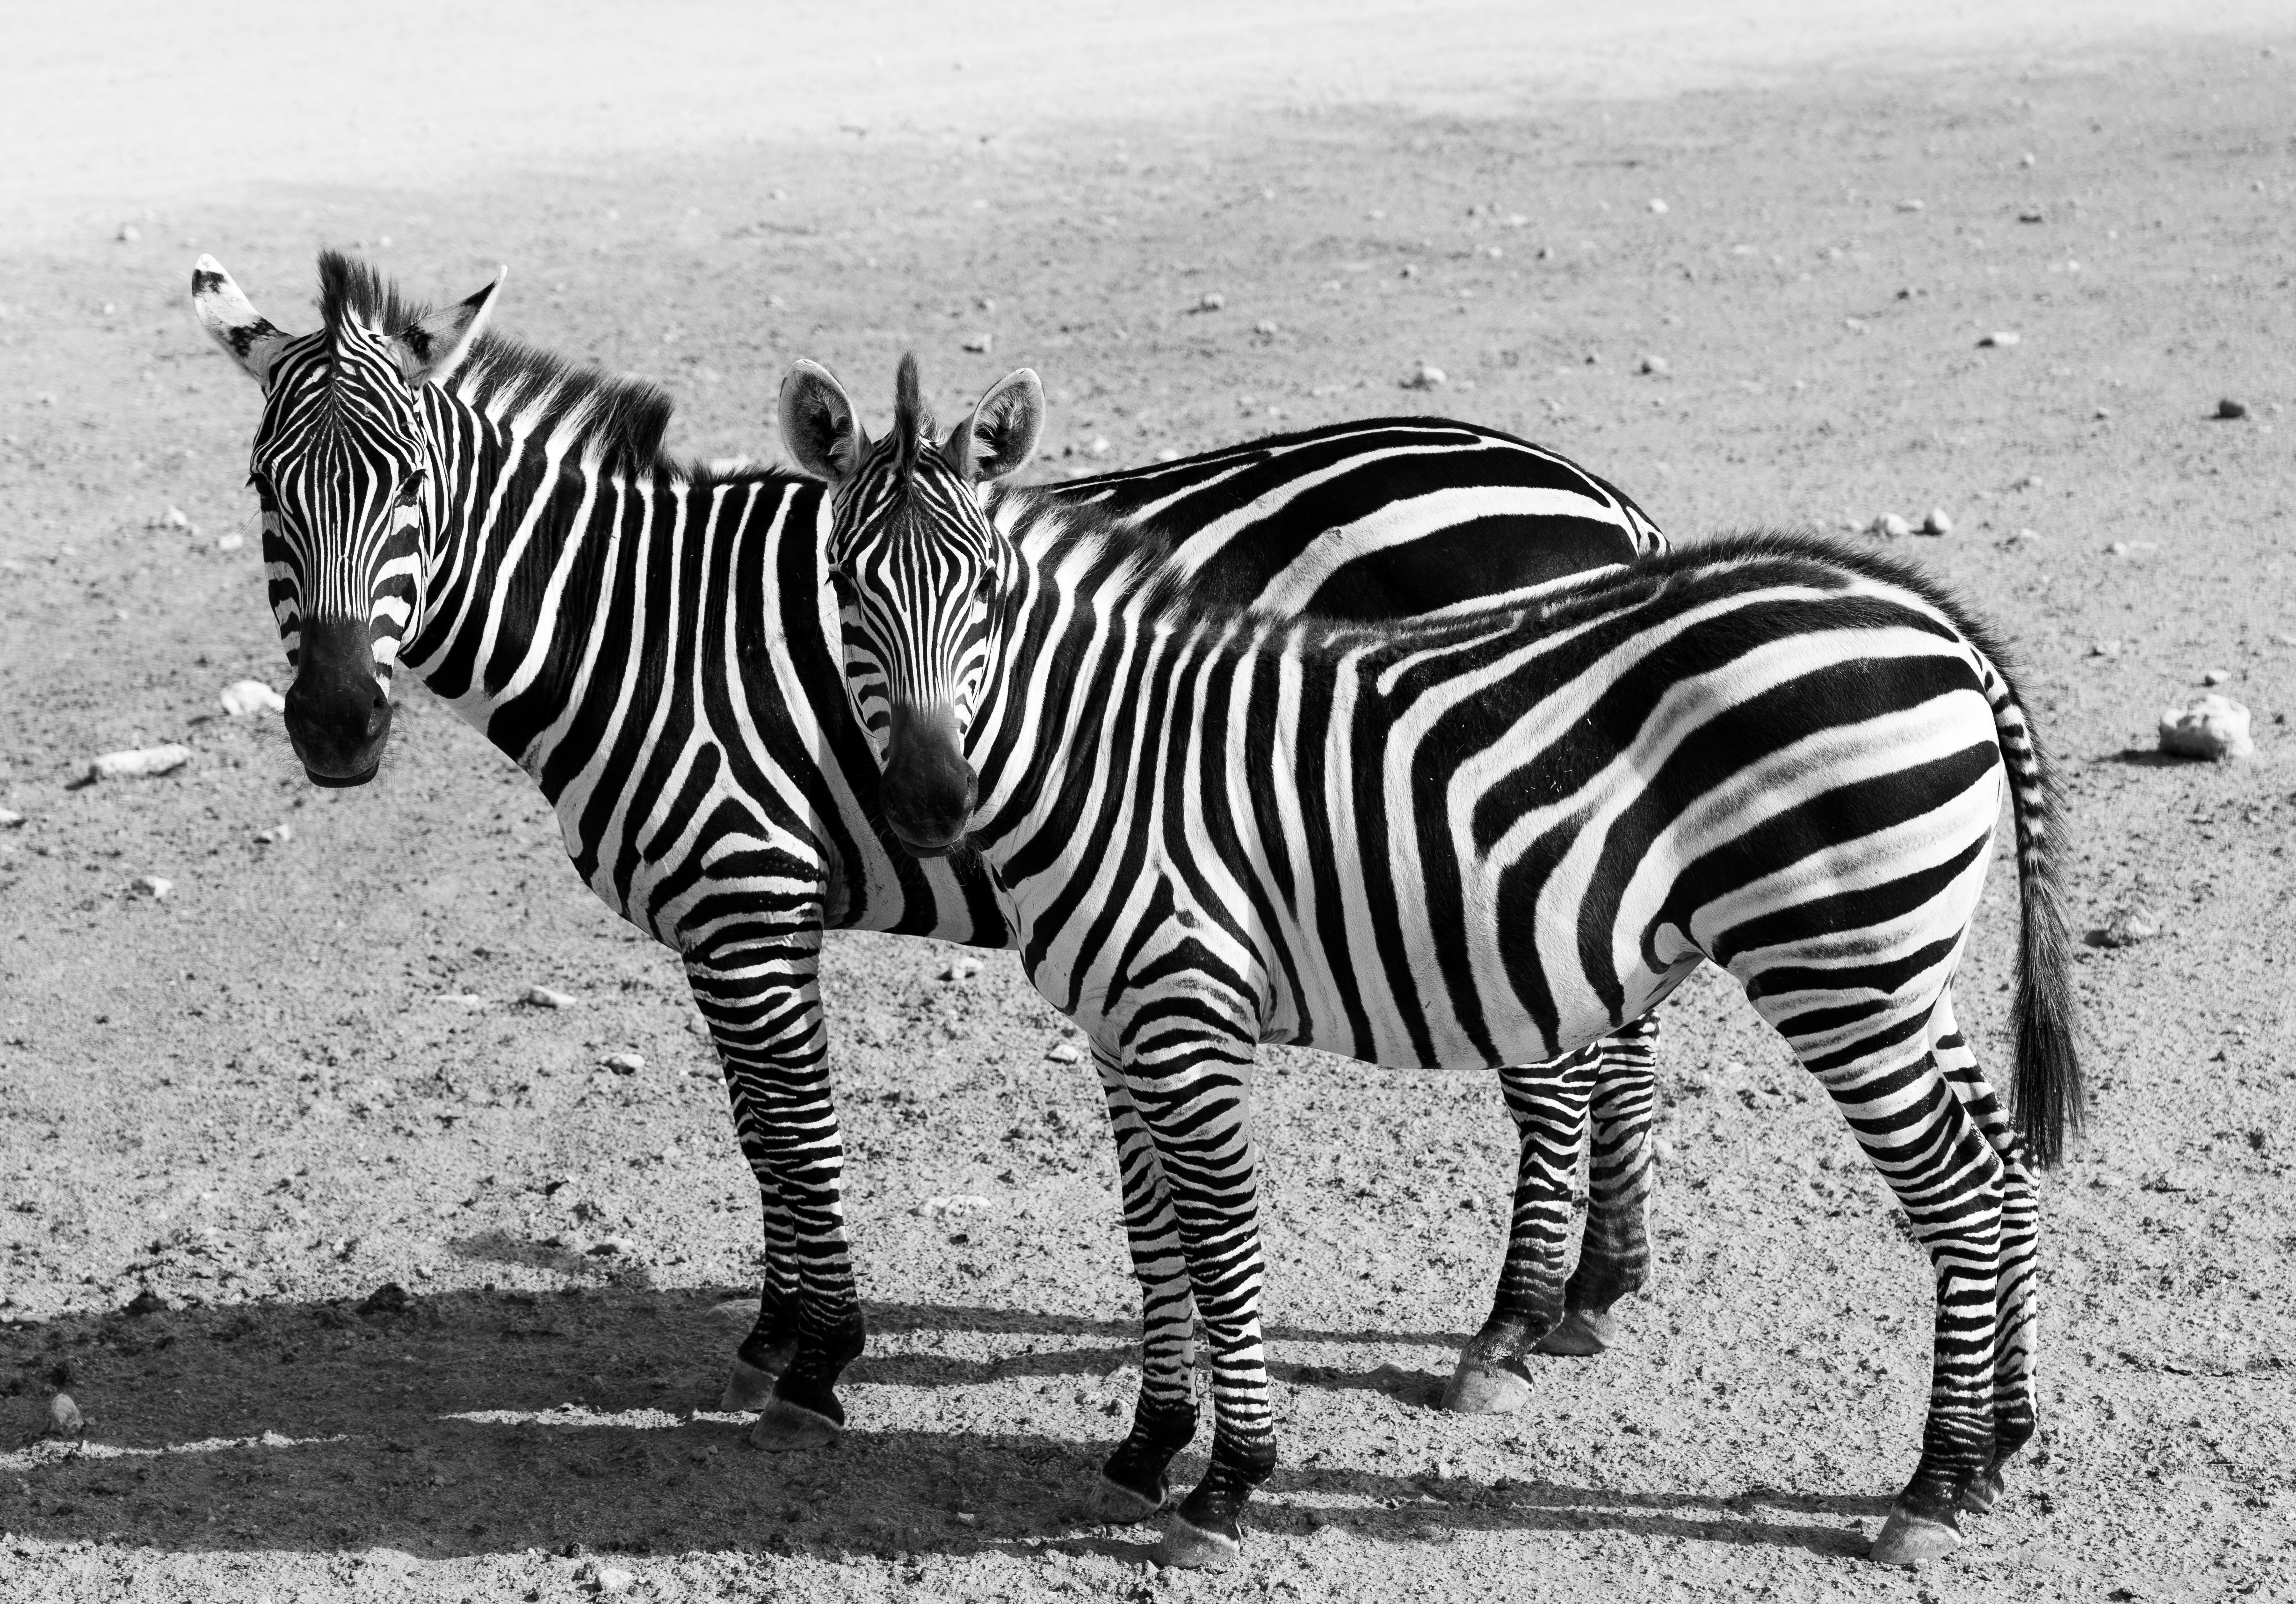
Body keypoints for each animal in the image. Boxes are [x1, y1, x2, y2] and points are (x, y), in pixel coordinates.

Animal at [187, 252, 1677, 1447]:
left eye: (412, 486)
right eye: (263, 488)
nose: (333, 727)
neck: (638, 625)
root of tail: (1598, 502)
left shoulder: (748, 889)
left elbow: (795, 1127)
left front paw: (815, 1359)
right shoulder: (718, 915)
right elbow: (757, 1130)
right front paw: (773, 1333)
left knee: (1556, 1075)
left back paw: (1507, 1327)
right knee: (1621, 1041)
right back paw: (1596, 1289)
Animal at [789, 355, 2083, 1571]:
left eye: (987, 588)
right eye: (843, 584)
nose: (930, 802)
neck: (1107, 748)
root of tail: (1939, 627)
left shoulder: (1186, 1016)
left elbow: (1221, 1241)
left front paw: (1228, 1483)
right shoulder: (1117, 1025)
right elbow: (1151, 1235)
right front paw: (1148, 1447)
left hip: (1836, 970)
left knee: (1961, 1192)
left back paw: (1929, 1485)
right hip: (1902, 969)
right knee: (2009, 1161)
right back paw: (1995, 1450)